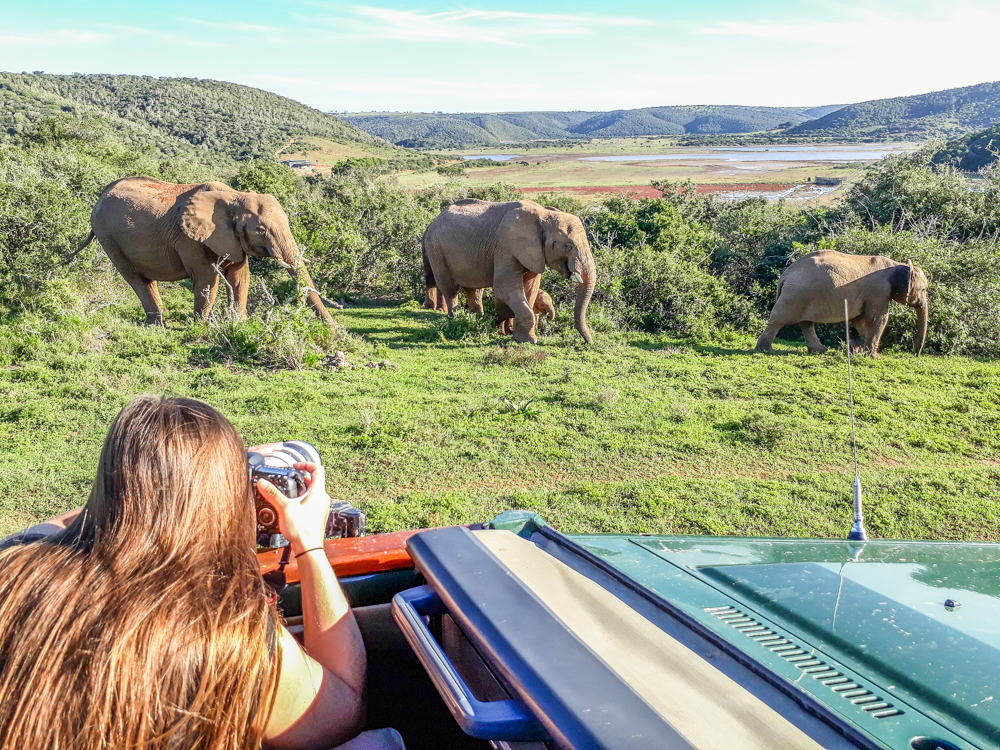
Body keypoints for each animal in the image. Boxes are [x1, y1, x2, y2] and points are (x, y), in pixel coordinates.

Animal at [75, 180, 332, 328]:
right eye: (260, 230)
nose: (333, 329)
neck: (233, 196)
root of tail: (101, 195)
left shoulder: (232, 239)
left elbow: (240, 277)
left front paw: (238, 324)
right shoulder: (190, 237)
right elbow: (207, 278)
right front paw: (202, 327)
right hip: (108, 236)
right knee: (137, 279)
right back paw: (156, 326)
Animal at [420, 197, 592, 344]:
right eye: (567, 246)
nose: (588, 342)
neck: (543, 214)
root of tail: (434, 220)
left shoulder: (534, 253)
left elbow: (530, 290)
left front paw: (510, 333)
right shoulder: (505, 248)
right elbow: (504, 288)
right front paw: (528, 340)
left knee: (474, 289)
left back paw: (476, 319)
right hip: (436, 248)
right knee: (449, 288)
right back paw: (455, 319)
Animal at [756, 253, 928, 358]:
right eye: (924, 289)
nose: (916, 354)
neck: (896, 264)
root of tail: (784, 276)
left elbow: (860, 320)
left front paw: (856, 349)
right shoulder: (879, 291)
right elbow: (878, 318)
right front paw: (874, 356)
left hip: (802, 295)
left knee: (806, 323)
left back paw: (820, 351)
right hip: (795, 295)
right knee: (778, 319)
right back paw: (764, 350)